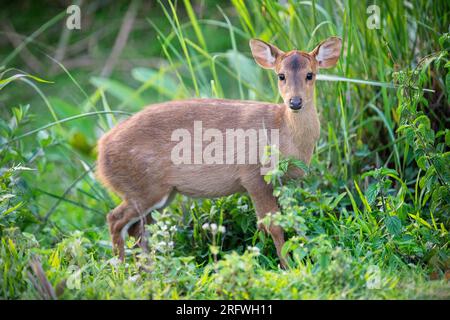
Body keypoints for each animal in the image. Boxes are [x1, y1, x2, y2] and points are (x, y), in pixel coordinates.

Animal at [97, 37, 342, 268]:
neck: (282, 131)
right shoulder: (254, 176)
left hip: (161, 193)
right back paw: (121, 268)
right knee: (115, 219)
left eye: (310, 74)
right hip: (144, 188)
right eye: (280, 76)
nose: (295, 102)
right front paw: (288, 266)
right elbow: (273, 225)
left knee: (137, 229)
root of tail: (101, 151)